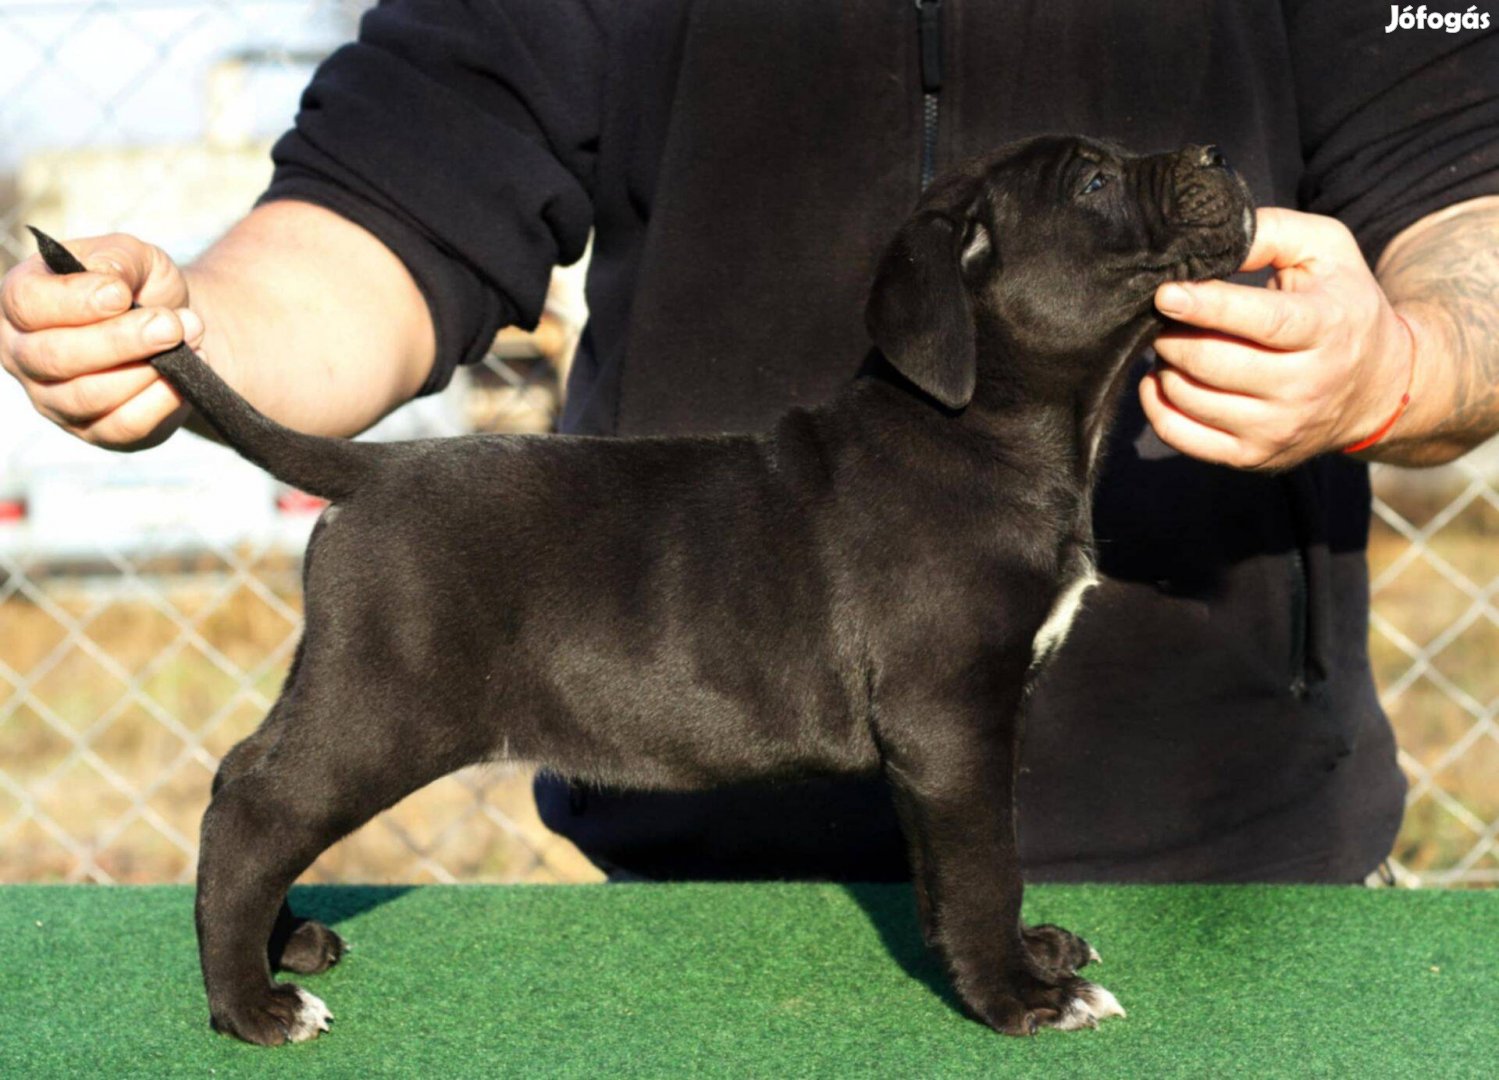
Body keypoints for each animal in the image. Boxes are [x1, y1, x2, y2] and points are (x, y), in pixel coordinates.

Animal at [35, 132, 1253, 1038]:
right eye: (1092, 183)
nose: (1218, 154)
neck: (985, 430)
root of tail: (371, 466)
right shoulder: (949, 716)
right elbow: (981, 861)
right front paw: (1019, 997)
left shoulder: (958, 730)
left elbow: (951, 864)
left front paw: (1021, 956)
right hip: (384, 703)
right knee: (253, 803)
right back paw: (251, 1005)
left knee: (250, 781)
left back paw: (281, 943)